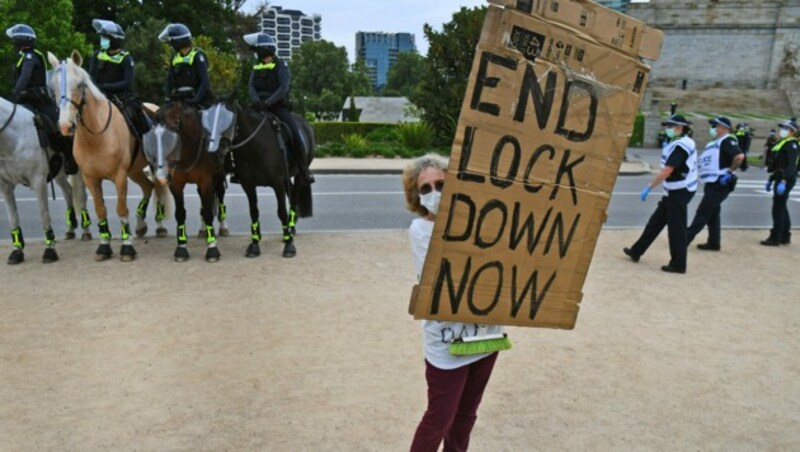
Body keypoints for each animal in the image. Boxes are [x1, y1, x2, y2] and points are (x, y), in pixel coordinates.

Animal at [0, 96, 91, 264]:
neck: (15, 138)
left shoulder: (38, 182)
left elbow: (44, 215)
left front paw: (50, 250)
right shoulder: (5, 186)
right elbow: (13, 218)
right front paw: (17, 251)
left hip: (79, 171)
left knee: (82, 197)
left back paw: (86, 231)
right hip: (60, 173)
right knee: (68, 192)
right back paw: (70, 229)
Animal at [47, 51, 170, 262]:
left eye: (80, 84)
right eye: (53, 86)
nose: (65, 126)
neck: (96, 136)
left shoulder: (119, 176)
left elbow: (121, 209)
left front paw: (127, 248)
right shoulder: (91, 178)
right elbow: (100, 209)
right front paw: (104, 246)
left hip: (152, 167)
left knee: (159, 188)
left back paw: (160, 227)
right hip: (135, 171)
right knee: (148, 186)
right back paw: (140, 225)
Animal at [146, 92, 227, 262]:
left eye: (171, 135)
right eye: (151, 138)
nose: (161, 175)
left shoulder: (206, 181)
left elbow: (209, 212)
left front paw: (212, 248)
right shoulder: (176, 184)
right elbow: (181, 214)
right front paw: (181, 248)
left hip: (218, 176)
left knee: (220, 196)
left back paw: (223, 227)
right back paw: (203, 230)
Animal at [203, 100, 312, 260]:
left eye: (228, 119)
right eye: (208, 118)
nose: (214, 149)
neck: (256, 146)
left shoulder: (277, 183)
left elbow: (281, 212)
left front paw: (289, 245)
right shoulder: (248, 185)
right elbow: (253, 212)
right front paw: (254, 245)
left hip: (299, 175)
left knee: (293, 199)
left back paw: (290, 228)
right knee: (291, 193)